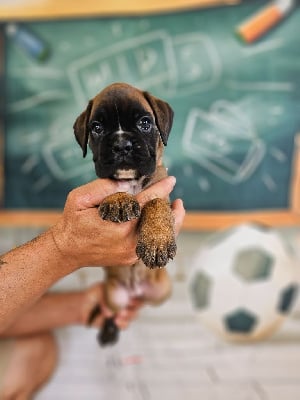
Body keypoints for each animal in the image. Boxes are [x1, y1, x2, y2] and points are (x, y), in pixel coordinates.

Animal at [73, 81, 176, 344]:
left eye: (145, 123)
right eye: (97, 128)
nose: (121, 145)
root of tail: (134, 291)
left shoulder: (164, 192)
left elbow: (155, 203)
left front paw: (156, 241)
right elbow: (110, 187)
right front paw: (118, 200)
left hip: (162, 291)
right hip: (113, 297)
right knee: (111, 312)